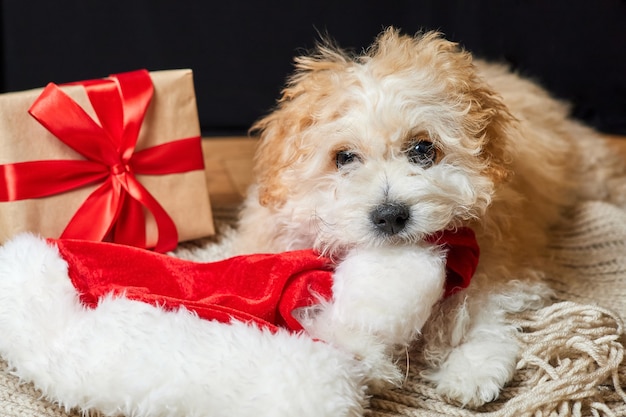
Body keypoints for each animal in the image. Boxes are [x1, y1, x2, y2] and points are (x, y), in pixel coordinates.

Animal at [233, 29, 608, 406]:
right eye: (344, 157)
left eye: (422, 149)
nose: (390, 216)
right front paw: (365, 356)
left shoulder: (503, 258)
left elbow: (485, 302)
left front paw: (471, 366)